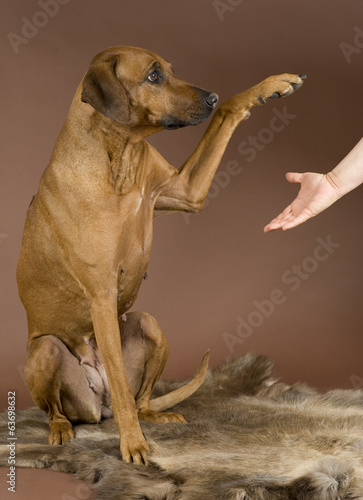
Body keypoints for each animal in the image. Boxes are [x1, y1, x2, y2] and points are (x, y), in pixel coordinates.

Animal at [17, 47, 306, 464]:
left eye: (171, 70)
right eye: (153, 76)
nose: (211, 96)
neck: (118, 153)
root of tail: (99, 405)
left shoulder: (185, 191)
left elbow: (227, 115)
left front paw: (269, 86)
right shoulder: (101, 296)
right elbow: (121, 384)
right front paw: (133, 444)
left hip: (149, 324)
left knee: (140, 398)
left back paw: (155, 416)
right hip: (45, 351)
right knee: (77, 402)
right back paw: (61, 428)